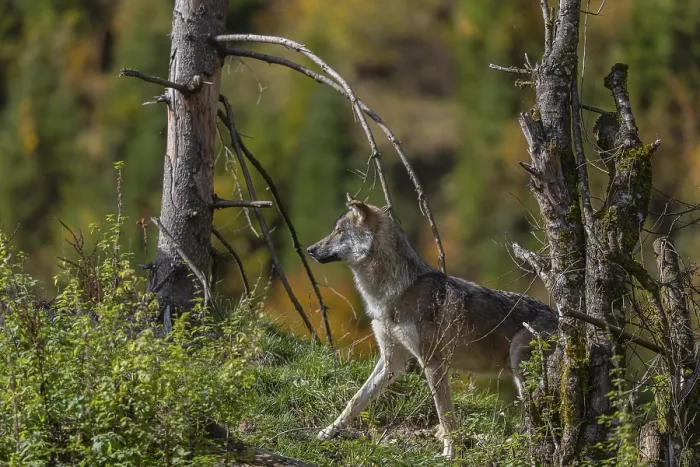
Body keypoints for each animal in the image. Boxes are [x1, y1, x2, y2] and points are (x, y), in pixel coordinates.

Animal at [306, 194, 557, 457]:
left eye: (339, 231)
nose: (309, 250)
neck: (396, 291)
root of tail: (561, 317)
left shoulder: (432, 362)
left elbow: (444, 413)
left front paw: (450, 453)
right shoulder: (393, 360)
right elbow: (355, 400)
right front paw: (328, 432)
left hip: (521, 367)